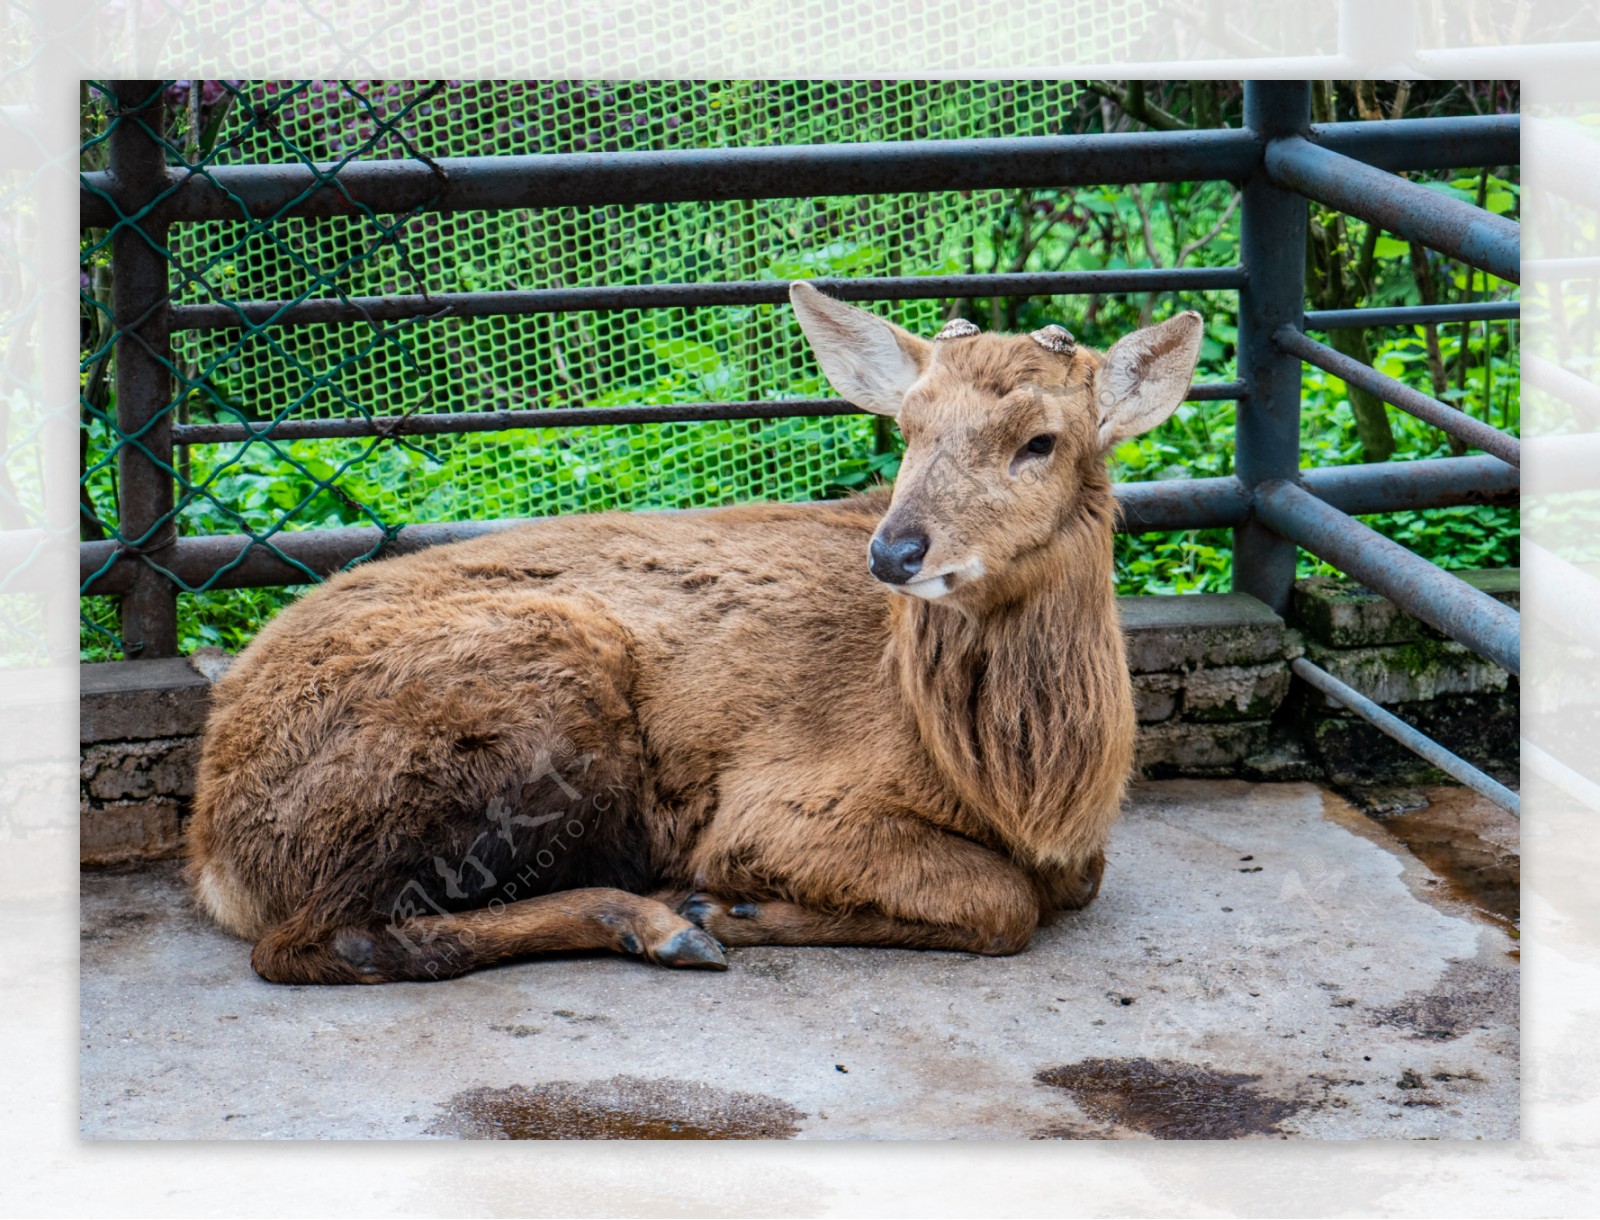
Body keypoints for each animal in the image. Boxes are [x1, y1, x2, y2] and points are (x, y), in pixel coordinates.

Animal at [187, 283, 1203, 979]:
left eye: (1041, 440)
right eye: (908, 427)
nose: (894, 550)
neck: (1030, 788)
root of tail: (213, 853)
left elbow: (1069, 883)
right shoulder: (774, 806)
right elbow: (1003, 904)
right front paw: (731, 907)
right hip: (542, 678)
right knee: (322, 940)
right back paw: (661, 923)